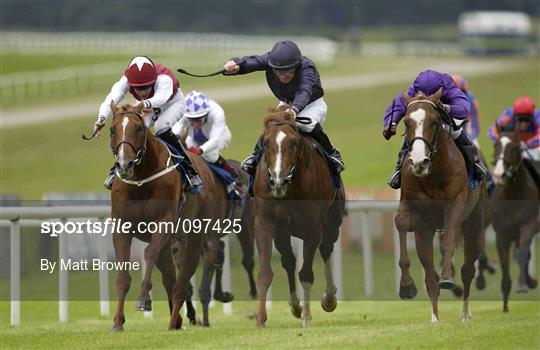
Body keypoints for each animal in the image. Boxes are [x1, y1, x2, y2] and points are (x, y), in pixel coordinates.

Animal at [251, 108, 344, 326]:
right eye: (266, 143)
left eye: (293, 143)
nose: (278, 180)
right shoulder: (264, 223)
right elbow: (265, 272)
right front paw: (260, 318)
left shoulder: (314, 227)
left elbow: (306, 274)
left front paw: (307, 316)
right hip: (282, 231)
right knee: (288, 260)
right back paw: (295, 305)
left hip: (333, 223)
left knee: (326, 249)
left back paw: (329, 298)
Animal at [394, 89, 488, 322]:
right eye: (406, 122)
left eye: (434, 121)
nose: (419, 162)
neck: (433, 175)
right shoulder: (415, 212)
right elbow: (401, 223)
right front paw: (406, 285)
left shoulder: (454, 206)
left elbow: (448, 243)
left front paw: (447, 278)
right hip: (425, 233)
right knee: (430, 277)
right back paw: (435, 318)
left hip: (475, 223)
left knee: (467, 270)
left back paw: (464, 313)